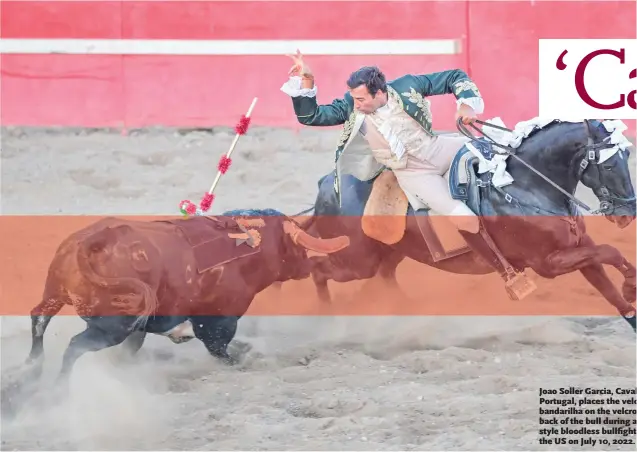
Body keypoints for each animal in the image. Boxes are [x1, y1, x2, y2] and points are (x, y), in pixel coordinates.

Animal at [24, 210, 350, 380]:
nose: (307, 264)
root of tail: (93, 241)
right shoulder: (217, 323)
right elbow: (223, 351)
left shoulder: (145, 327)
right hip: (111, 327)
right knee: (74, 346)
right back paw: (60, 385)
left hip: (55, 295)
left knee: (39, 318)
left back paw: (33, 367)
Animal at [296, 120, 632, 330]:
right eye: (609, 165)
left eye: (627, 155)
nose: (627, 211)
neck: (526, 185)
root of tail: (326, 184)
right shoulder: (549, 262)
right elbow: (611, 251)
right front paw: (631, 285)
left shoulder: (580, 248)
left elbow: (611, 285)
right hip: (355, 259)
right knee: (318, 269)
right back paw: (328, 319)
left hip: (388, 254)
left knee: (384, 279)